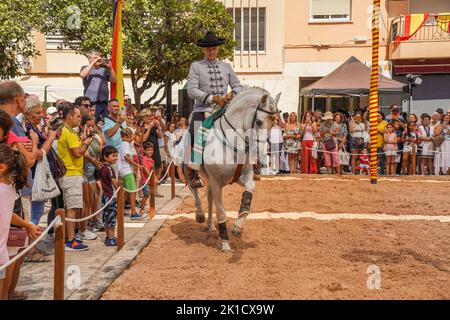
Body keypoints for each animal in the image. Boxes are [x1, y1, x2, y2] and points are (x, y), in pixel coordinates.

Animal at [177, 87, 280, 252]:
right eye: (258, 121)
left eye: (273, 123)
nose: (260, 153)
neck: (234, 143)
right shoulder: (216, 181)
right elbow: (221, 211)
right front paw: (225, 242)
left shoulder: (241, 177)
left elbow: (249, 191)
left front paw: (238, 226)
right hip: (191, 173)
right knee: (194, 189)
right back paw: (200, 215)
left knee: (209, 198)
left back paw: (211, 227)